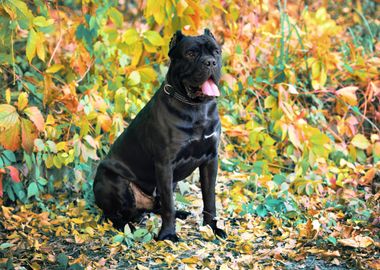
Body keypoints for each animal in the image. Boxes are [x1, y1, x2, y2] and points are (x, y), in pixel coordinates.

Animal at [93, 29, 226, 240]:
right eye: (190, 53)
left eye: (216, 52)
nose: (210, 62)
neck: (197, 108)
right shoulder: (164, 164)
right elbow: (169, 205)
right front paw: (168, 234)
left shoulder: (210, 160)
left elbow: (209, 198)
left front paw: (211, 227)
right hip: (112, 179)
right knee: (114, 216)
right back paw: (128, 227)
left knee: (157, 205)